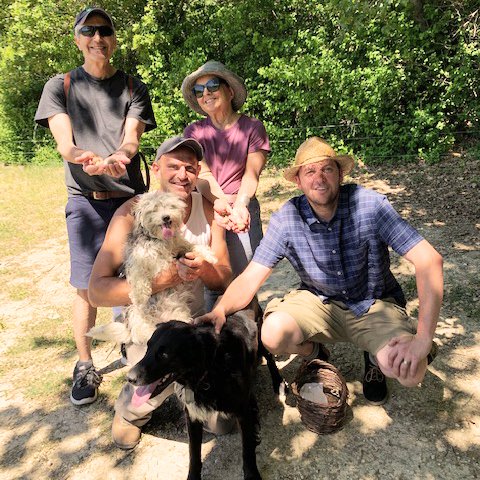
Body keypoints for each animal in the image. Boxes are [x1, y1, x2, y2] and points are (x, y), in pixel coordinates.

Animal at [87, 190, 217, 344]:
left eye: (170, 206)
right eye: (154, 209)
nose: (166, 217)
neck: (160, 241)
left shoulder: (181, 248)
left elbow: (193, 246)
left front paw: (209, 256)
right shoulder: (137, 259)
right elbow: (138, 275)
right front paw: (140, 296)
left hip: (178, 315)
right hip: (139, 320)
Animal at [128, 306, 284, 480]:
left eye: (164, 354)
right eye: (147, 348)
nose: (129, 377)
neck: (209, 371)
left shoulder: (242, 412)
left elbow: (247, 451)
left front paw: (251, 475)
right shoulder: (192, 417)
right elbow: (194, 454)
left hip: (263, 339)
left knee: (270, 358)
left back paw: (277, 382)